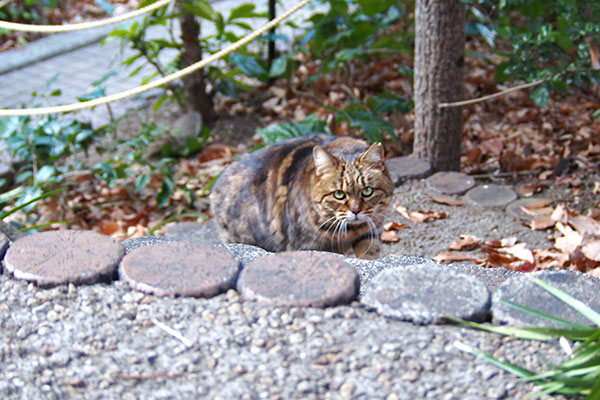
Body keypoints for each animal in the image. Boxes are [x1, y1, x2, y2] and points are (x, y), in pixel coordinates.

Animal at [210, 134, 394, 260]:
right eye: (339, 194)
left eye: (367, 191)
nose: (355, 210)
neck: (349, 232)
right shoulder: (308, 246)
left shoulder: (370, 232)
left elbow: (369, 252)